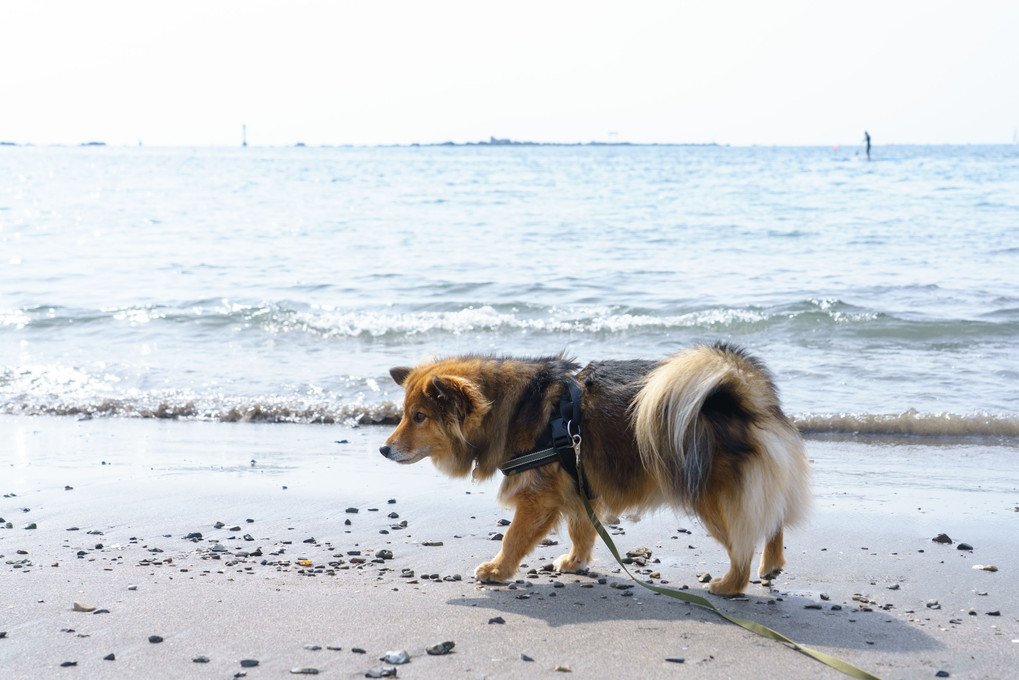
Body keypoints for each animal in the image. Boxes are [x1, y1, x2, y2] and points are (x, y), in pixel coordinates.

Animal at [383, 342, 811, 591]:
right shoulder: (577, 484)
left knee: (744, 543)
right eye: (404, 414)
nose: (383, 450)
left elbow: (513, 537)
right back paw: (771, 564)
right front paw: (575, 563)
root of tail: (746, 395)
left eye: (419, 417)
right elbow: (582, 530)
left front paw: (498, 570)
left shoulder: (538, 498)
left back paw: (729, 584)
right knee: (772, 520)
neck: (509, 406)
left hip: (710, 499)